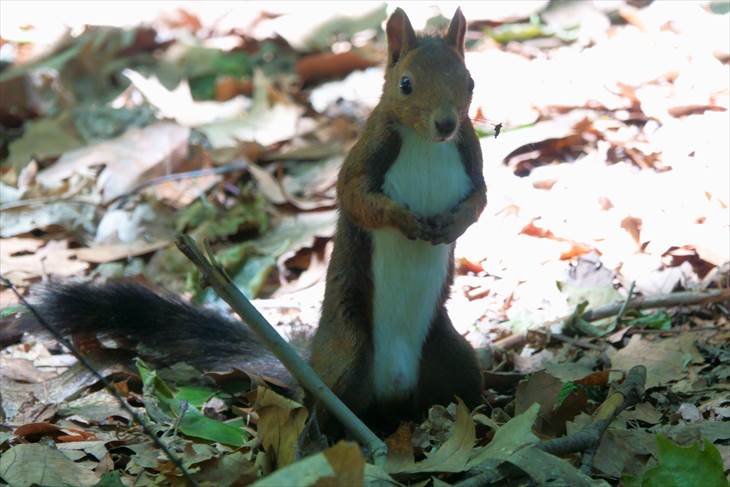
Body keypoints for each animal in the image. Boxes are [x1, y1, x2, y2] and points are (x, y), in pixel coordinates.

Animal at [12, 7, 484, 440]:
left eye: (469, 81)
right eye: (405, 83)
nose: (446, 123)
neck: (425, 143)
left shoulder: (469, 153)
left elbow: (479, 199)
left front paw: (453, 224)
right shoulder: (367, 154)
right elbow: (356, 199)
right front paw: (405, 218)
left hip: (451, 353)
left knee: (460, 384)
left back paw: (476, 415)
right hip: (349, 354)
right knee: (328, 404)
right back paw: (324, 435)